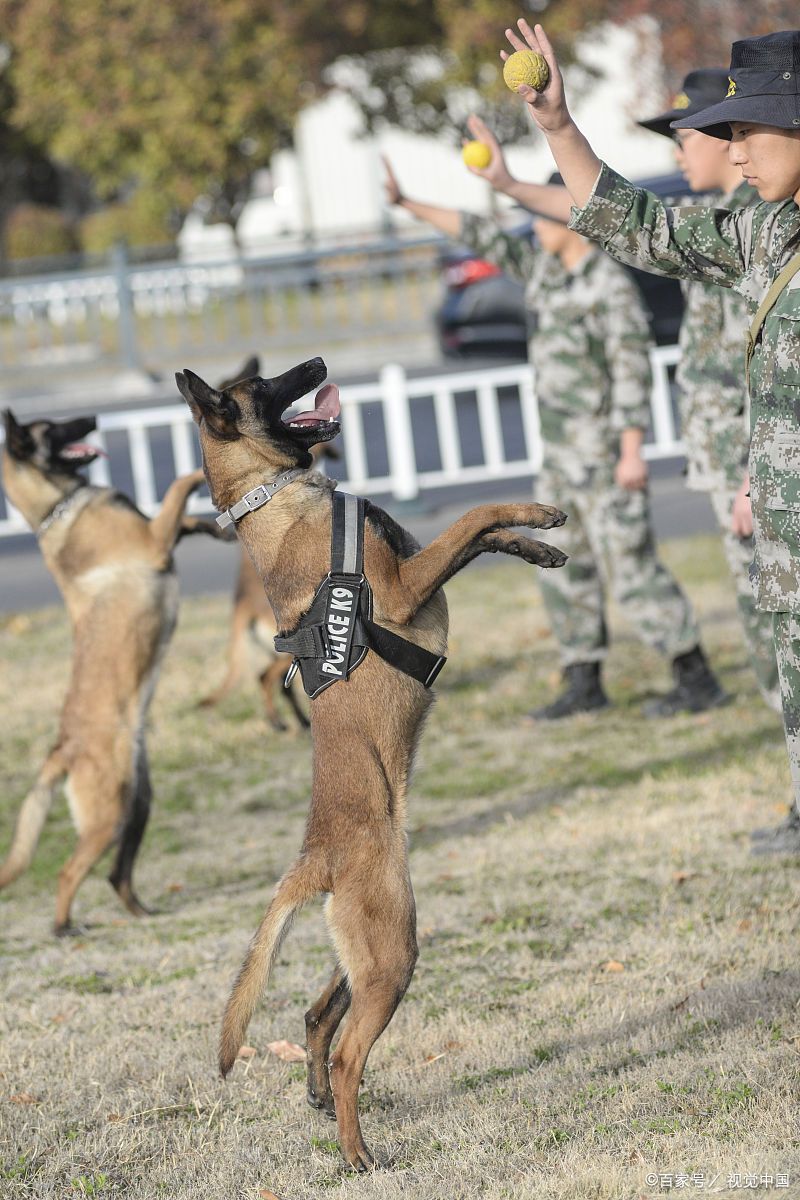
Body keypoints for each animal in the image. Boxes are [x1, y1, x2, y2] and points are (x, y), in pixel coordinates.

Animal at [0, 412, 215, 936]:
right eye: (51, 427)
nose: (92, 418)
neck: (55, 510)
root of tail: (63, 748)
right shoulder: (153, 542)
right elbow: (179, 484)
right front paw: (199, 473)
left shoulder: (158, 537)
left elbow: (181, 515)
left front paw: (208, 527)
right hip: (108, 815)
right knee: (68, 870)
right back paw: (63, 926)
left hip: (135, 806)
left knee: (117, 873)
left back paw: (140, 912)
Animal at [175, 362, 566, 1171]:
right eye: (267, 384)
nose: (318, 366)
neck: (275, 500)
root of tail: (313, 856)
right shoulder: (411, 584)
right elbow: (472, 516)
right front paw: (535, 513)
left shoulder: (421, 570)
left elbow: (480, 537)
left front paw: (535, 548)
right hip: (392, 953)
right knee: (351, 1048)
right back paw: (357, 1152)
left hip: (367, 950)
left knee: (316, 1015)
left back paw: (320, 1100)